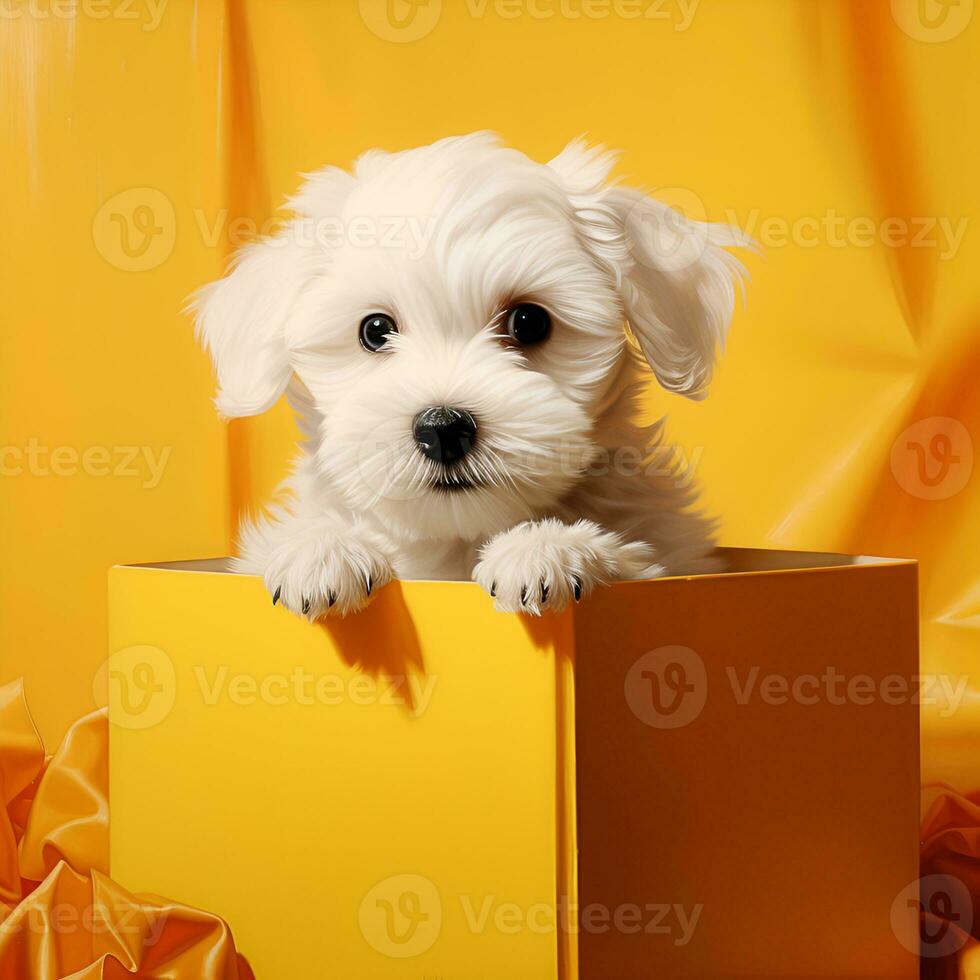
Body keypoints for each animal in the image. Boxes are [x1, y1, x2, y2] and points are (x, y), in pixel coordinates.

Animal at [193, 133, 752, 616]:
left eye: (529, 322)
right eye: (375, 330)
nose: (443, 429)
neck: (456, 542)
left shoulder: (674, 551)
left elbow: (639, 556)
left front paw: (547, 547)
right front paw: (322, 550)